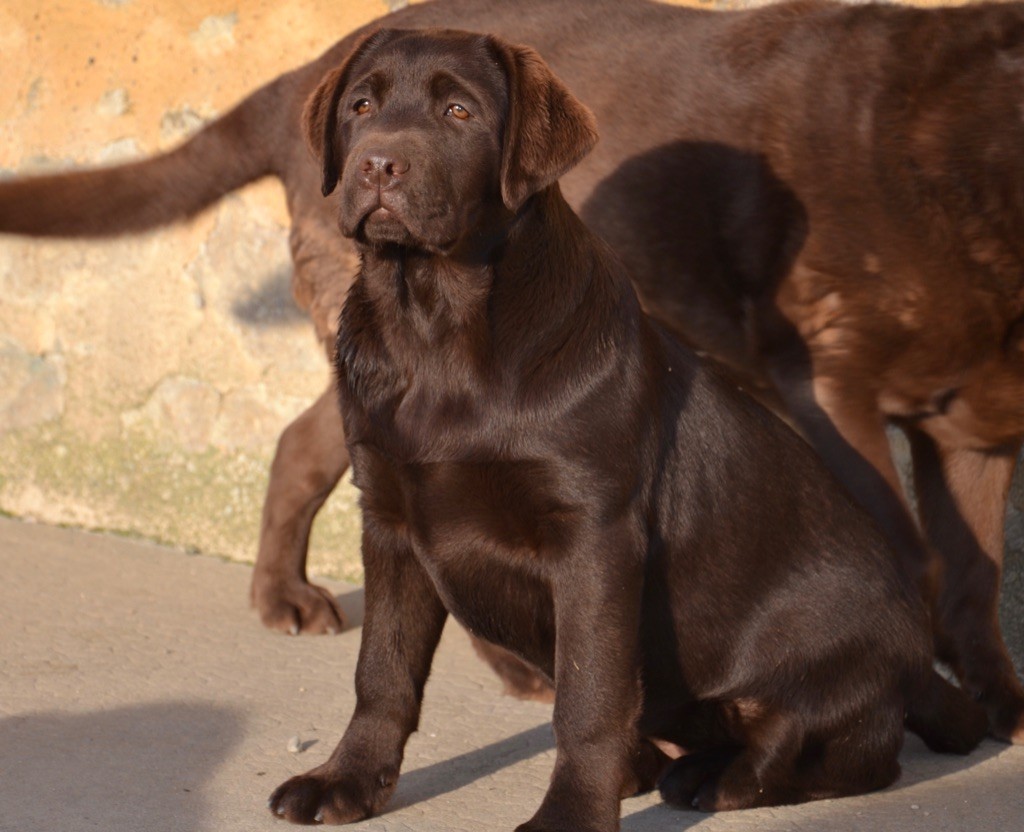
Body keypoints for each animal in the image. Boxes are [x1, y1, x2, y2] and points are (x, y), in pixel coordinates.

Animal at [2, 0, 1024, 741]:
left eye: (461, 113)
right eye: (370, 109)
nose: (378, 162)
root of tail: (305, 71)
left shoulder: (975, 426)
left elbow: (975, 572)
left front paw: (995, 699)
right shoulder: (830, 379)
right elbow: (917, 554)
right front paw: (924, 697)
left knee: (304, 448)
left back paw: (290, 596)